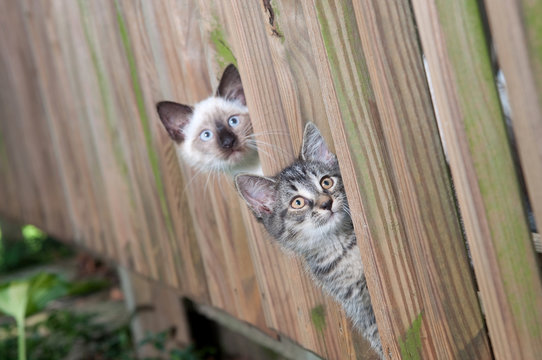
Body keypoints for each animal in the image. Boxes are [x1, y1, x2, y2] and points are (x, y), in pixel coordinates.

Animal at [236, 124, 384, 358]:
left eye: (326, 182)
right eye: (297, 202)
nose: (326, 202)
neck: (341, 245)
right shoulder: (357, 303)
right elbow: (375, 334)